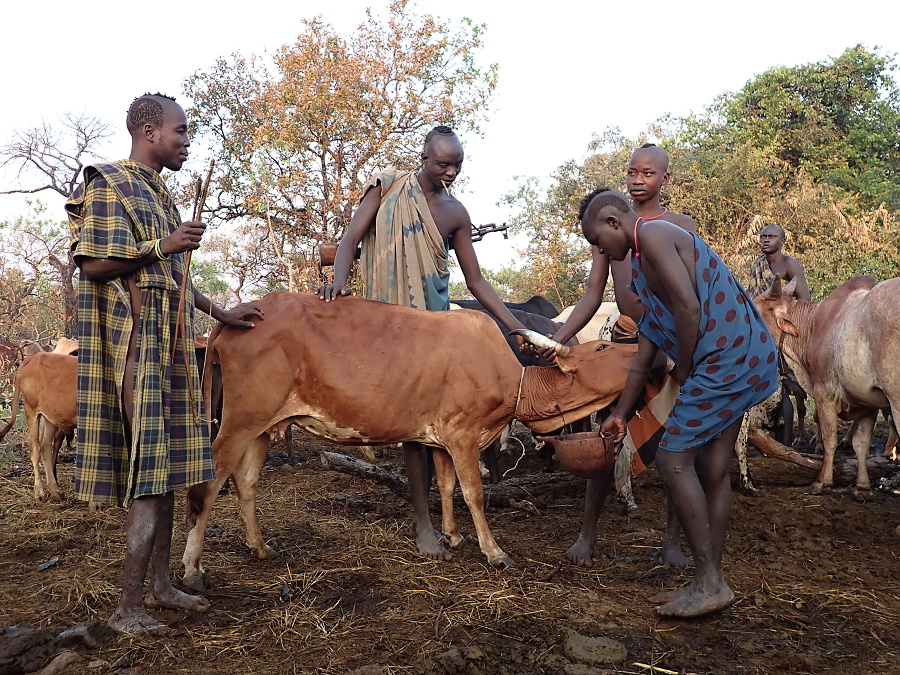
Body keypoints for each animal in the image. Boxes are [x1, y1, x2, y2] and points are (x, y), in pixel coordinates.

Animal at [0, 354, 76, 502]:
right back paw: (39, 492)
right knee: (35, 449)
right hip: (31, 410)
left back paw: (54, 490)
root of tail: (32, 358)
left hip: (50, 416)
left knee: (45, 446)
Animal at [179, 294, 636, 588]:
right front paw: (493, 551)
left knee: (246, 482)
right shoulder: (463, 436)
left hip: (262, 426)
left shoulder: (441, 439)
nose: (642, 352)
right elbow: (474, 494)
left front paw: (452, 536)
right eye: (602, 346)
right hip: (240, 421)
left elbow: (447, 486)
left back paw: (260, 547)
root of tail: (235, 317)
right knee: (209, 484)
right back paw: (192, 568)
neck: (512, 377)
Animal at [752, 278, 900, 494]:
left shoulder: (825, 395)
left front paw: (823, 480)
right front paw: (862, 484)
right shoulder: (869, 404)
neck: (813, 328)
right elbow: (861, 444)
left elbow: (830, 440)